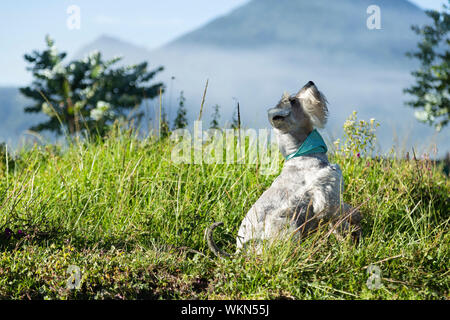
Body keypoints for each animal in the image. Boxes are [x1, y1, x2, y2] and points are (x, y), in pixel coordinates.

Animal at [207, 80, 362, 258]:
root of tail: (241, 250)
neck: (302, 152)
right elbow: (346, 212)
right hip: (287, 225)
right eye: (293, 101)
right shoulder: (328, 198)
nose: (310, 82)